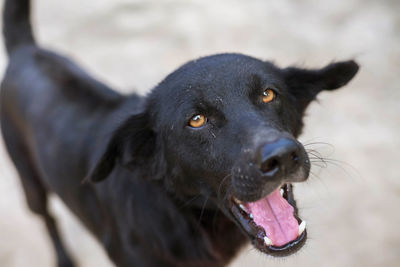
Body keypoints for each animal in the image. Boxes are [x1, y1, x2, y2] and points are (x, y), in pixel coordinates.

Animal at [0, 0, 360, 267]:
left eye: (269, 94)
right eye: (197, 120)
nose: (282, 156)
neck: (185, 215)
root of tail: (25, 50)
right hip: (30, 182)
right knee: (47, 219)